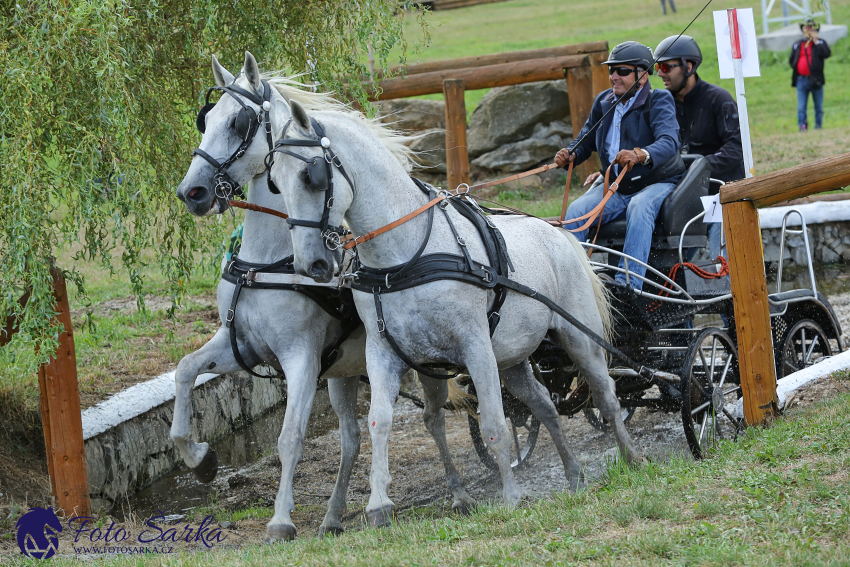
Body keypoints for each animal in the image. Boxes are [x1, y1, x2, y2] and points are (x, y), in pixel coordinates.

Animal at [171, 55, 476, 544]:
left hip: (423, 360)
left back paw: (459, 493)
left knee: (433, 419)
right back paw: (333, 516)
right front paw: (199, 458)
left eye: (238, 123)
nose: (192, 192)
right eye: (207, 119)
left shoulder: (301, 356)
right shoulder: (242, 344)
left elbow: (289, 437)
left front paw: (281, 519)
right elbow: (185, 370)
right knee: (351, 438)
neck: (268, 261)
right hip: (343, 374)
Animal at [266, 96, 644, 520]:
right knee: (543, 405)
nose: (310, 265)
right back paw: (574, 473)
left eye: (310, 175)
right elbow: (380, 421)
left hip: (579, 337)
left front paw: (511, 496)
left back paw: (630, 456)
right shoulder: (383, 353)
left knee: (606, 393)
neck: (406, 255)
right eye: (274, 181)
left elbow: (494, 423)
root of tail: (560, 232)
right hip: (511, 358)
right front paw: (379, 503)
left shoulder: (475, 347)